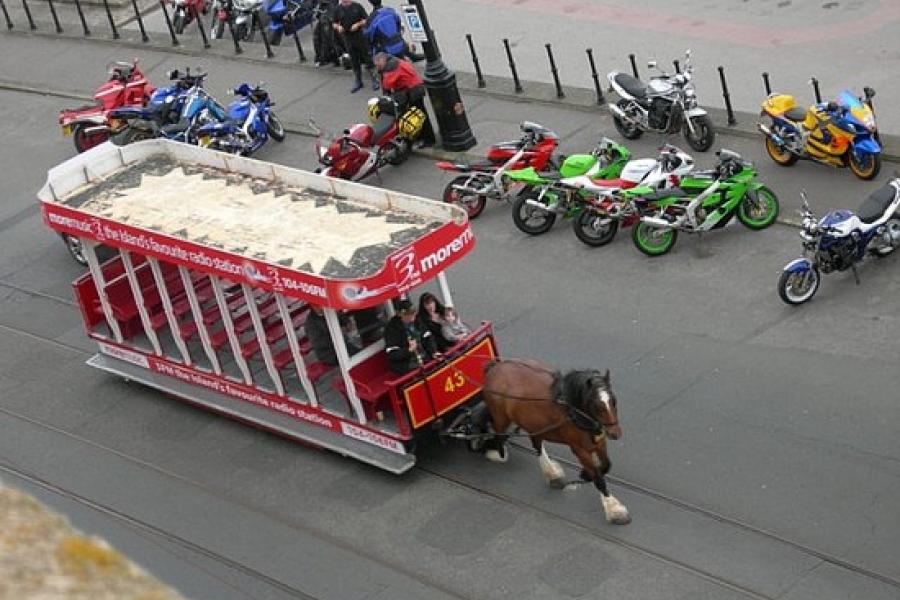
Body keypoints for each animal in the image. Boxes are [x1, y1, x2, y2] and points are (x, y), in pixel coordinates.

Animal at [482, 358, 628, 524]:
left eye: (614, 401)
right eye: (597, 405)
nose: (615, 433)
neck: (572, 410)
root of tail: (495, 367)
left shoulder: (599, 443)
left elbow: (606, 466)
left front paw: (585, 474)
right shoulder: (579, 450)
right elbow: (598, 478)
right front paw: (615, 510)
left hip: (533, 423)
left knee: (536, 444)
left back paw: (552, 472)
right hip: (501, 418)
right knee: (499, 434)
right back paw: (498, 453)